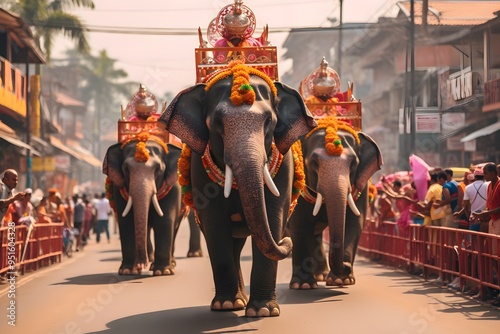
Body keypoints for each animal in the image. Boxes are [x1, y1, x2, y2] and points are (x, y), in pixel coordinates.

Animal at [102, 137, 202, 276]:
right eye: (126, 169)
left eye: (157, 169)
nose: (140, 265)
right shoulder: (118, 188)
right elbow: (126, 221)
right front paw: (127, 271)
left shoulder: (173, 188)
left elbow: (164, 220)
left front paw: (163, 271)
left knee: (175, 226)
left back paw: (176, 261)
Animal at [160, 61, 316, 318]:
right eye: (217, 123)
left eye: (269, 122)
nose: (287, 241)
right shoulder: (198, 169)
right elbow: (214, 225)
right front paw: (226, 306)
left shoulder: (285, 167)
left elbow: (273, 215)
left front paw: (263, 311)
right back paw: (236, 301)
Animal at [286, 117, 382, 290]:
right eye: (314, 163)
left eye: (353, 164)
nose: (347, 266)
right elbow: (299, 225)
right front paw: (303, 285)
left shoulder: (361, 185)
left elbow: (354, 222)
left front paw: (341, 281)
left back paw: (321, 276)